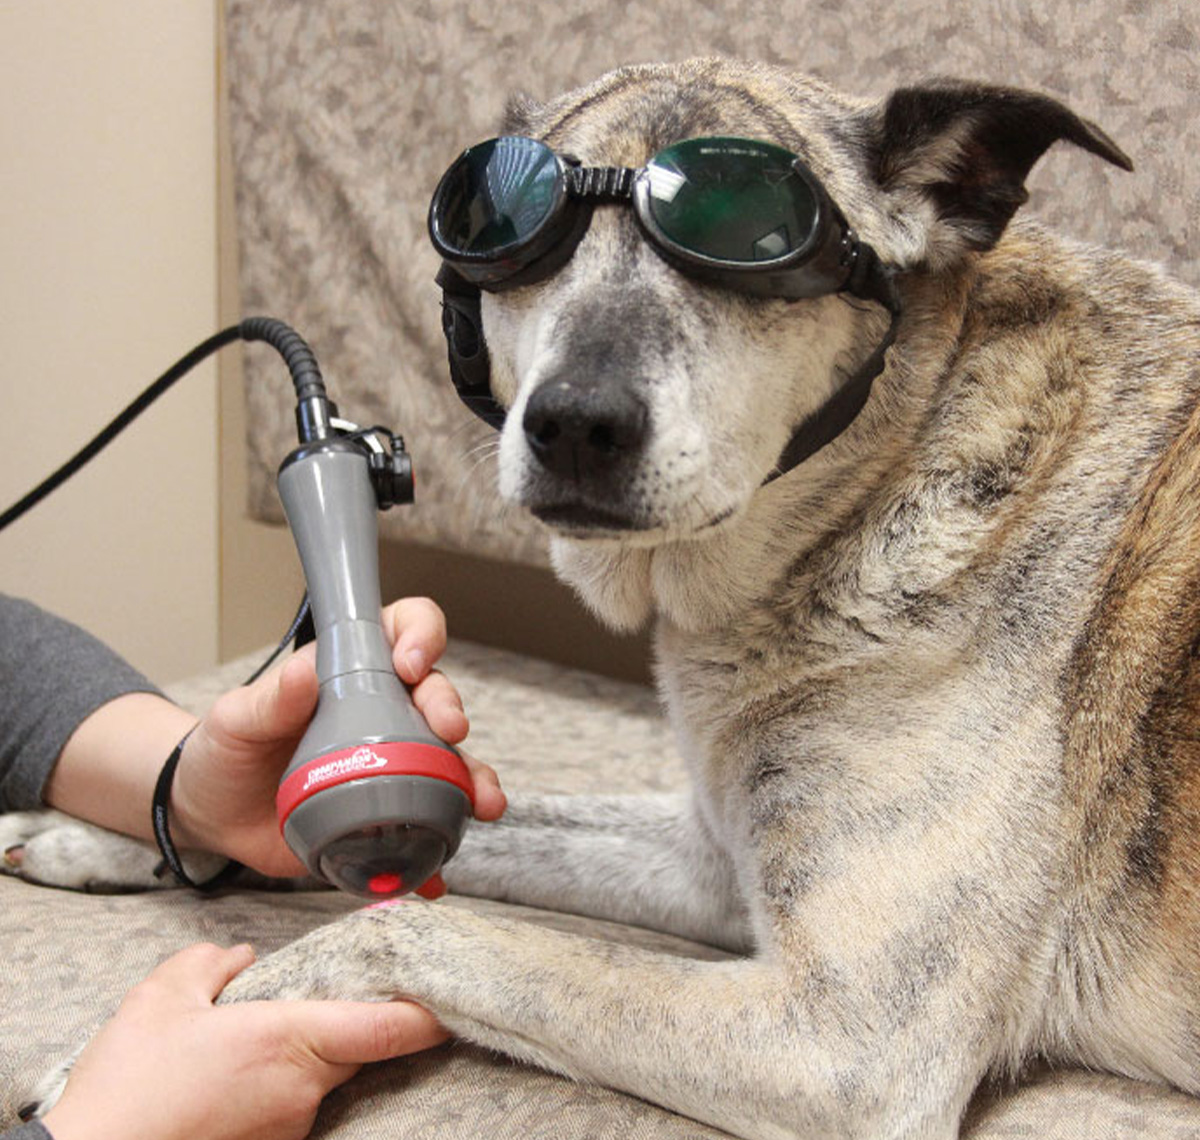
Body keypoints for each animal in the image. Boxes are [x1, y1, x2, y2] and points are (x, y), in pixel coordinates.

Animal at [9, 57, 1200, 1137]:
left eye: (758, 234)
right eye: (506, 228)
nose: (575, 424)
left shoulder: (845, 1040)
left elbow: (415, 929)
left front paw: (183, 1036)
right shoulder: (713, 863)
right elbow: (501, 824)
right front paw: (109, 836)